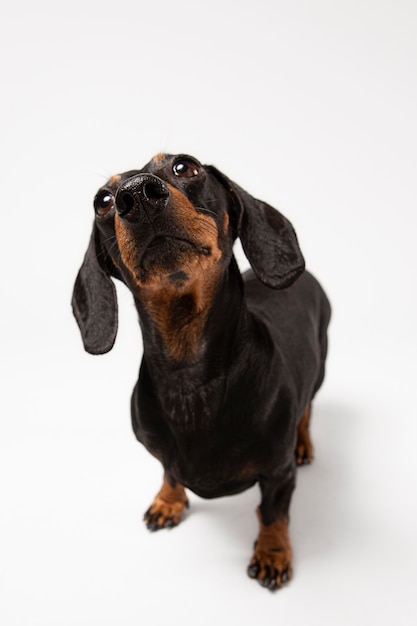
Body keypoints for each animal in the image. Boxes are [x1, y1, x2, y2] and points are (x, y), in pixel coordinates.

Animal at [72, 152, 332, 588]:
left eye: (185, 167)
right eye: (102, 201)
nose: (136, 195)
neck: (189, 379)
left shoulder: (278, 475)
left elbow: (273, 514)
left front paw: (273, 554)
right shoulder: (162, 454)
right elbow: (170, 471)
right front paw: (168, 502)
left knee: (307, 410)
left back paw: (303, 443)